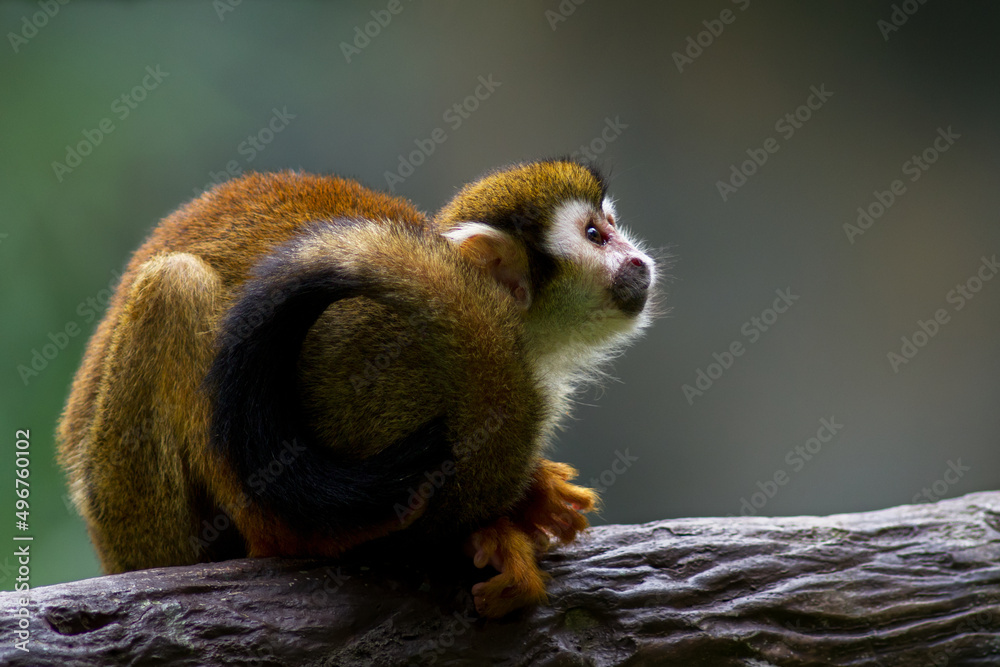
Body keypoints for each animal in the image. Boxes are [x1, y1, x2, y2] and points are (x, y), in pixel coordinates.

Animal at [56, 159, 657, 618]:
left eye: (609, 226)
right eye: (594, 236)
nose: (638, 260)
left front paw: (524, 500)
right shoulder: (378, 348)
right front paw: (482, 528)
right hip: (133, 514)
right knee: (176, 286)